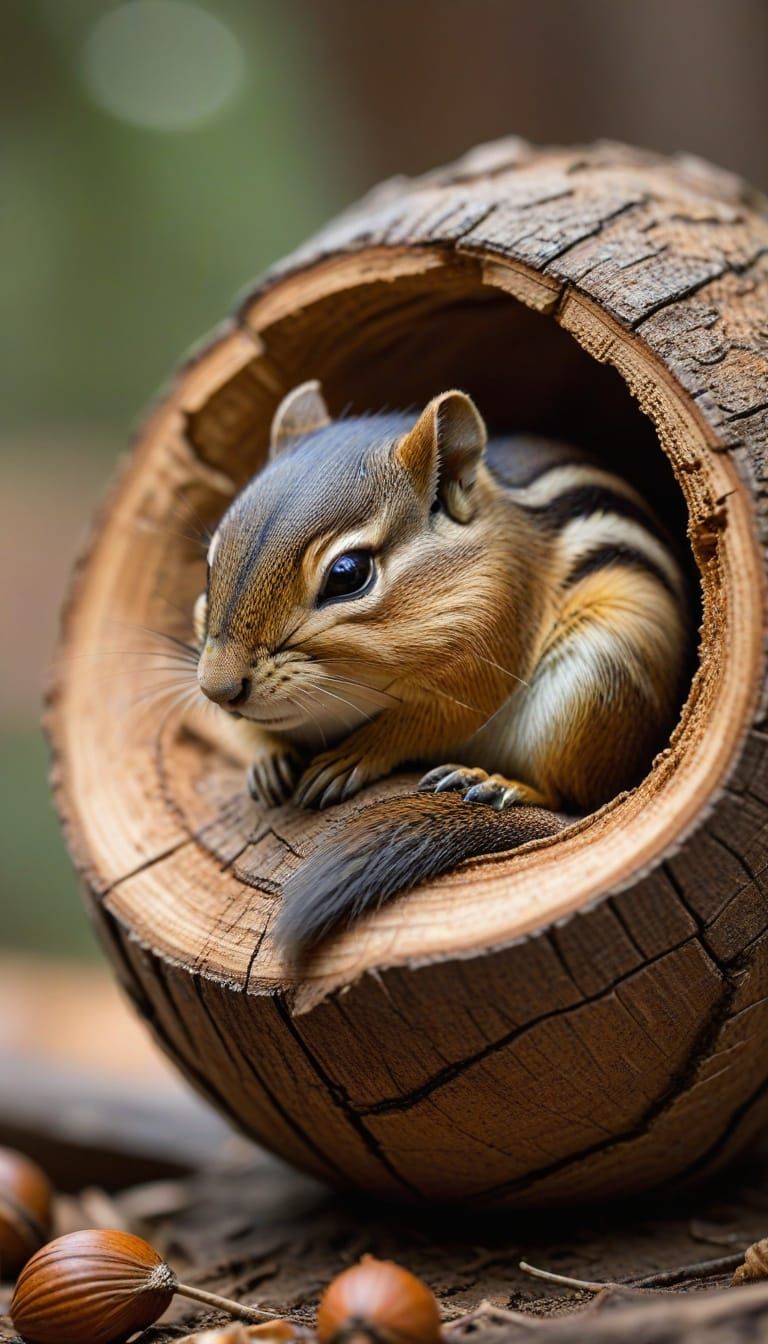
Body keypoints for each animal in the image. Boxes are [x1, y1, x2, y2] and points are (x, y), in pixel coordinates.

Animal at [195, 380, 689, 953]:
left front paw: (354, 755)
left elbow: (434, 720)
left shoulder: (489, 646)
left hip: (594, 680)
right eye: (210, 565)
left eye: (348, 574)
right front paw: (268, 759)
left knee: (571, 797)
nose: (217, 689)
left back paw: (496, 784)